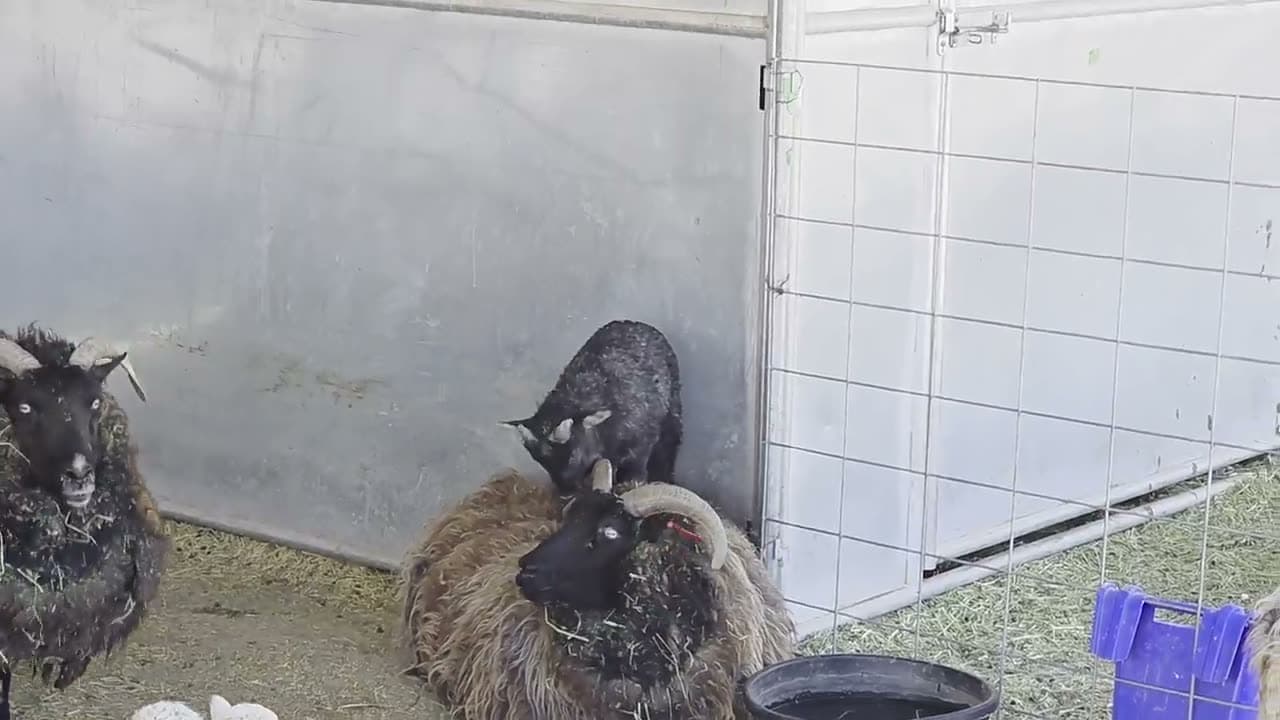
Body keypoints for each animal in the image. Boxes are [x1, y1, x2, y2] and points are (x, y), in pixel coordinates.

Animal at [502, 319, 683, 494]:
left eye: (573, 456)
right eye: (541, 462)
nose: (565, 491)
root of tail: (636, 323)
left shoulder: (641, 442)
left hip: (672, 414)